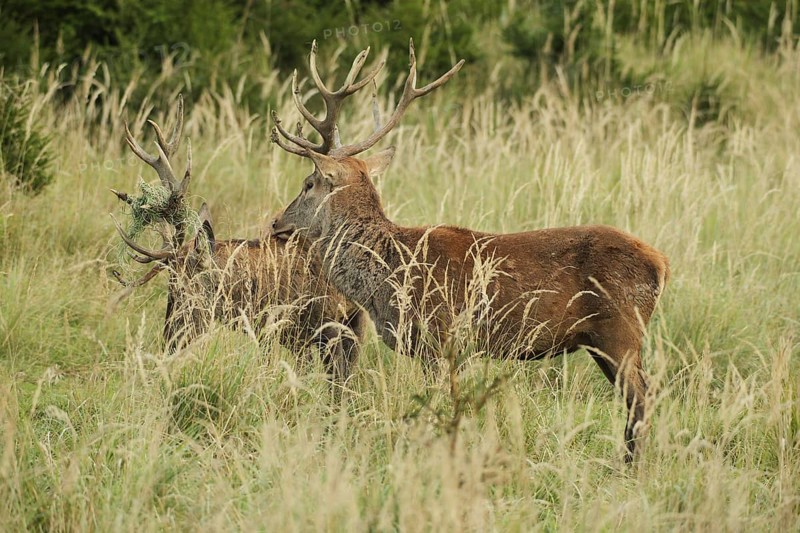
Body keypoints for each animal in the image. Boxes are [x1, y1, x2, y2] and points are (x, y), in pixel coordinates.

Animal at [269, 40, 670, 461]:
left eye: (308, 183)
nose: (276, 223)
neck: (389, 274)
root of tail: (661, 263)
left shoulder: (440, 336)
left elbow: (439, 405)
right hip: (602, 340)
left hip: (620, 330)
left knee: (642, 397)